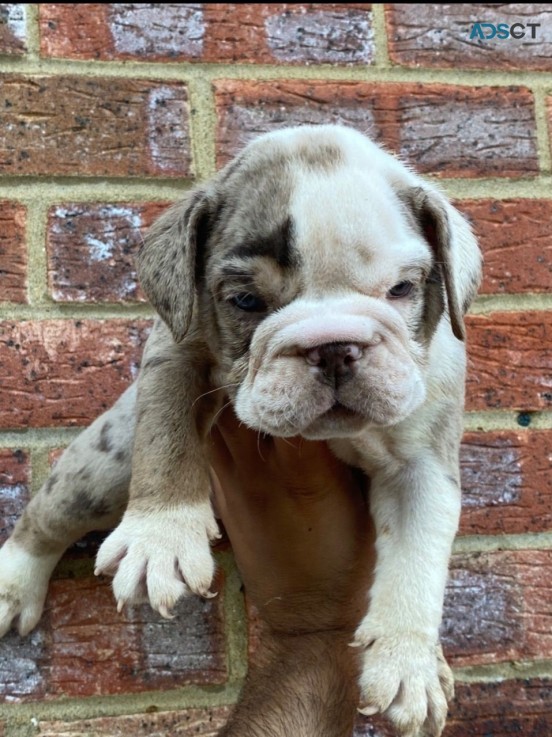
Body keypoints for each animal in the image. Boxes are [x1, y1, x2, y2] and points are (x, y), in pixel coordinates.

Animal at [0, 126, 478, 736]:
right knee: (48, 515)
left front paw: (407, 661)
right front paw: (161, 538)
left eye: (401, 290)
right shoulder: (174, 348)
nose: (334, 347)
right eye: (246, 301)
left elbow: (418, 553)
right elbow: (168, 428)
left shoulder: (423, 464)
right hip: (106, 464)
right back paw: (14, 585)